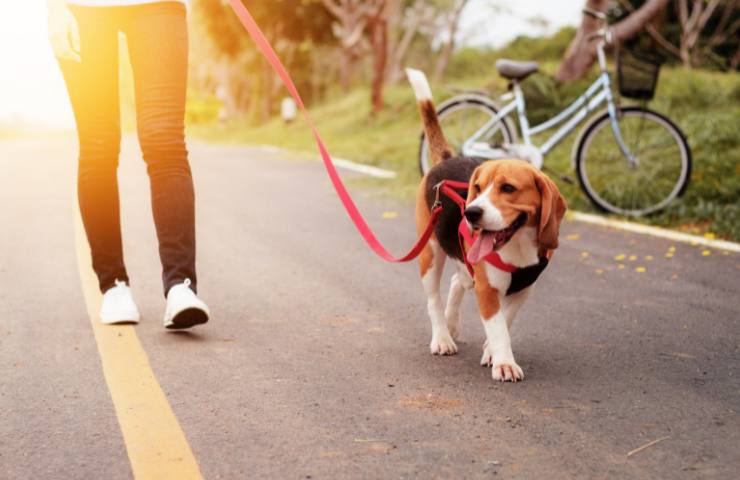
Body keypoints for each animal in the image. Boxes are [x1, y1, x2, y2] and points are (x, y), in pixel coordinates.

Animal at [404, 68, 568, 382]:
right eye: (477, 188)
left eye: (508, 188)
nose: (471, 213)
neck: (517, 248)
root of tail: (446, 159)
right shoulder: (487, 290)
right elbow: (498, 327)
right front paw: (504, 362)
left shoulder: (523, 289)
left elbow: (505, 320)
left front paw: (491, 352)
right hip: (430, 254)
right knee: (434, 300)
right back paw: (442, 337)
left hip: (467, 268)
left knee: (457, 281)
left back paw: (452, 324)